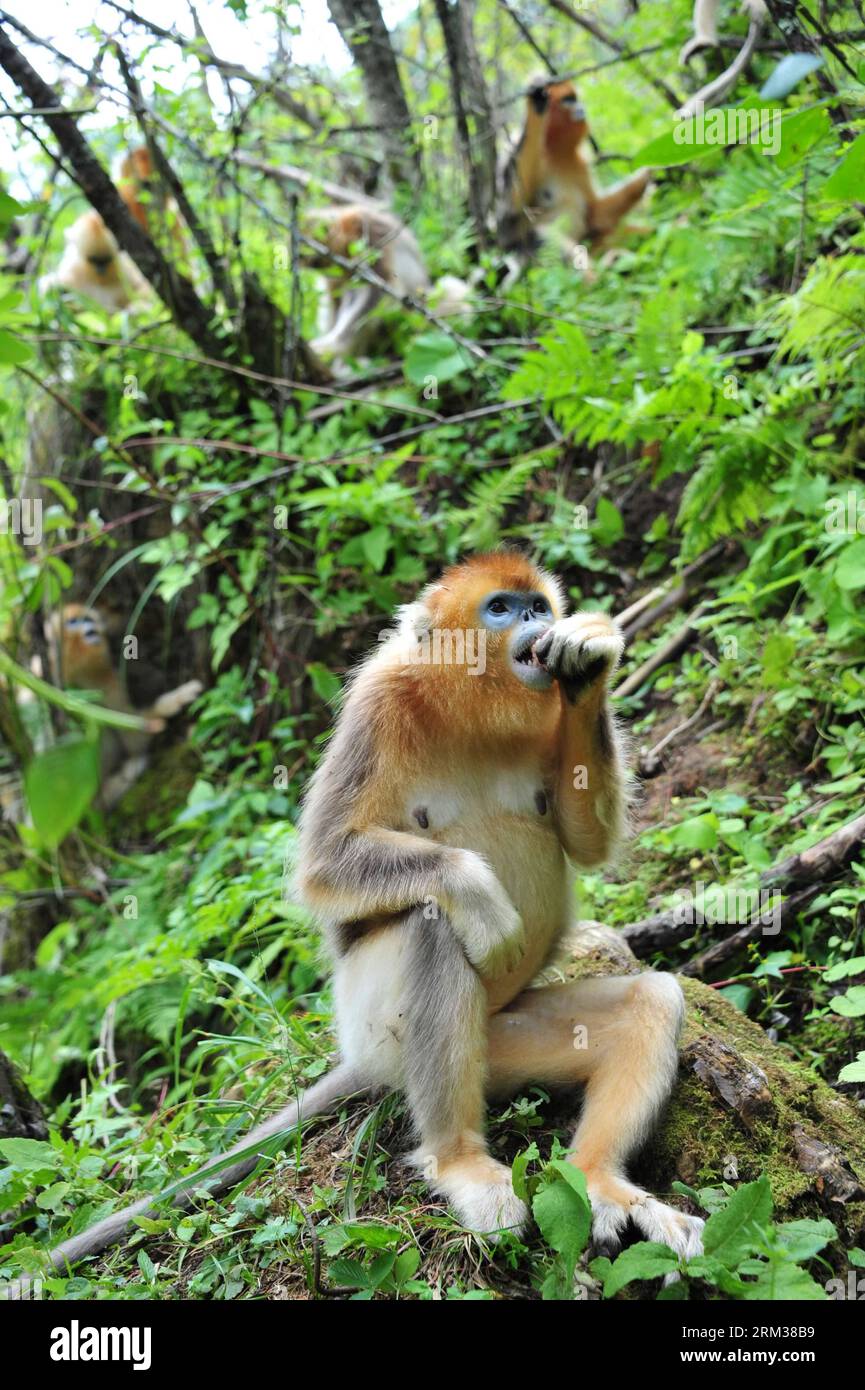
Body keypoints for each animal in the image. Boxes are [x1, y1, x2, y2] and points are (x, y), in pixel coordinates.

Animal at [500, 77, 650, 278]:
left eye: (576, 98)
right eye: (568, 100)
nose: (581, 107)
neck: (553, 147)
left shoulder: (580, 163)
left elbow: (594, 215)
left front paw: (647, 176)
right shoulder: (512, 147)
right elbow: (508, 217)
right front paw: (536, 103)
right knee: (542, 236)